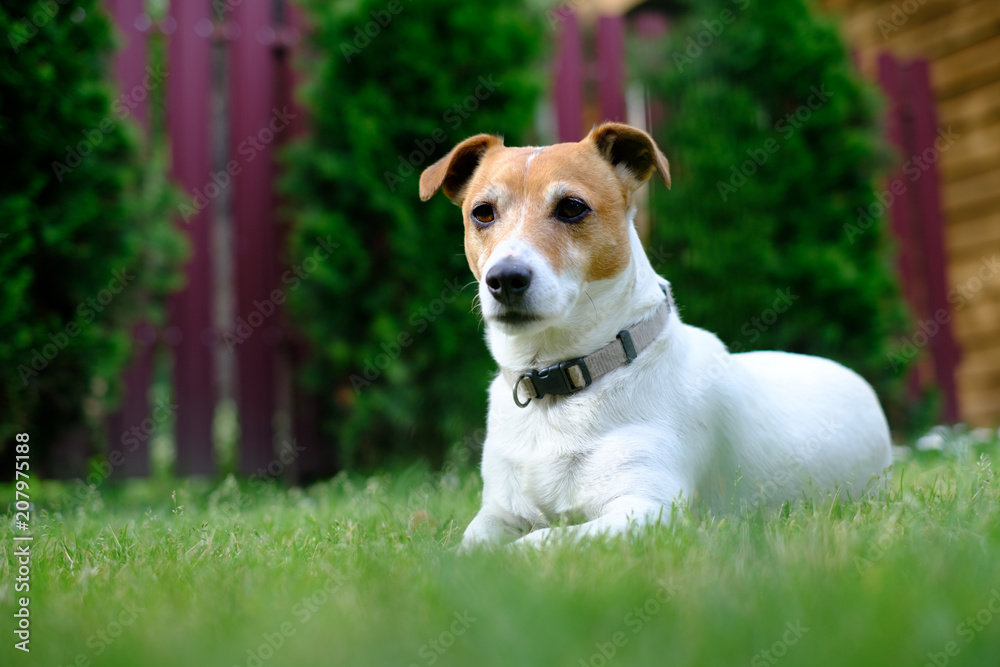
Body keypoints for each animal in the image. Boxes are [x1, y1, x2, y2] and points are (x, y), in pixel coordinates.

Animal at [416, 121, 892, 548]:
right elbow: (469, 545)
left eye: (571, 207)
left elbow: (541, 540)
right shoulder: (499, 512)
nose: (504, 278)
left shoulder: (648, 509)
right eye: (482, 213)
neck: (560, 383)